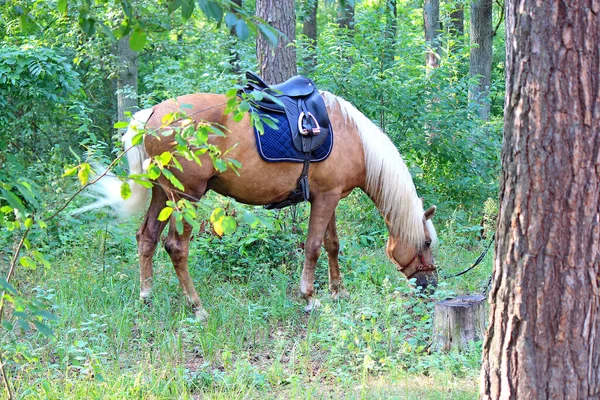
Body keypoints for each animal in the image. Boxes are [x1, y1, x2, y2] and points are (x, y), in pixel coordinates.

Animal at [82, 90, 438, 318]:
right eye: (427, 242)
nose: (431, 287)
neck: (355, 139)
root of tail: (152, 115)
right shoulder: (325, 198)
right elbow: (313, 247)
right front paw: (310, 298)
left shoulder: (331, 196)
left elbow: (332, 244)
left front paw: (339, 292)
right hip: (186, 197)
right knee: (175, 247)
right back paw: (197, 308)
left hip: (162, 193)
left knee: (147, 238)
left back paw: (147, 298)